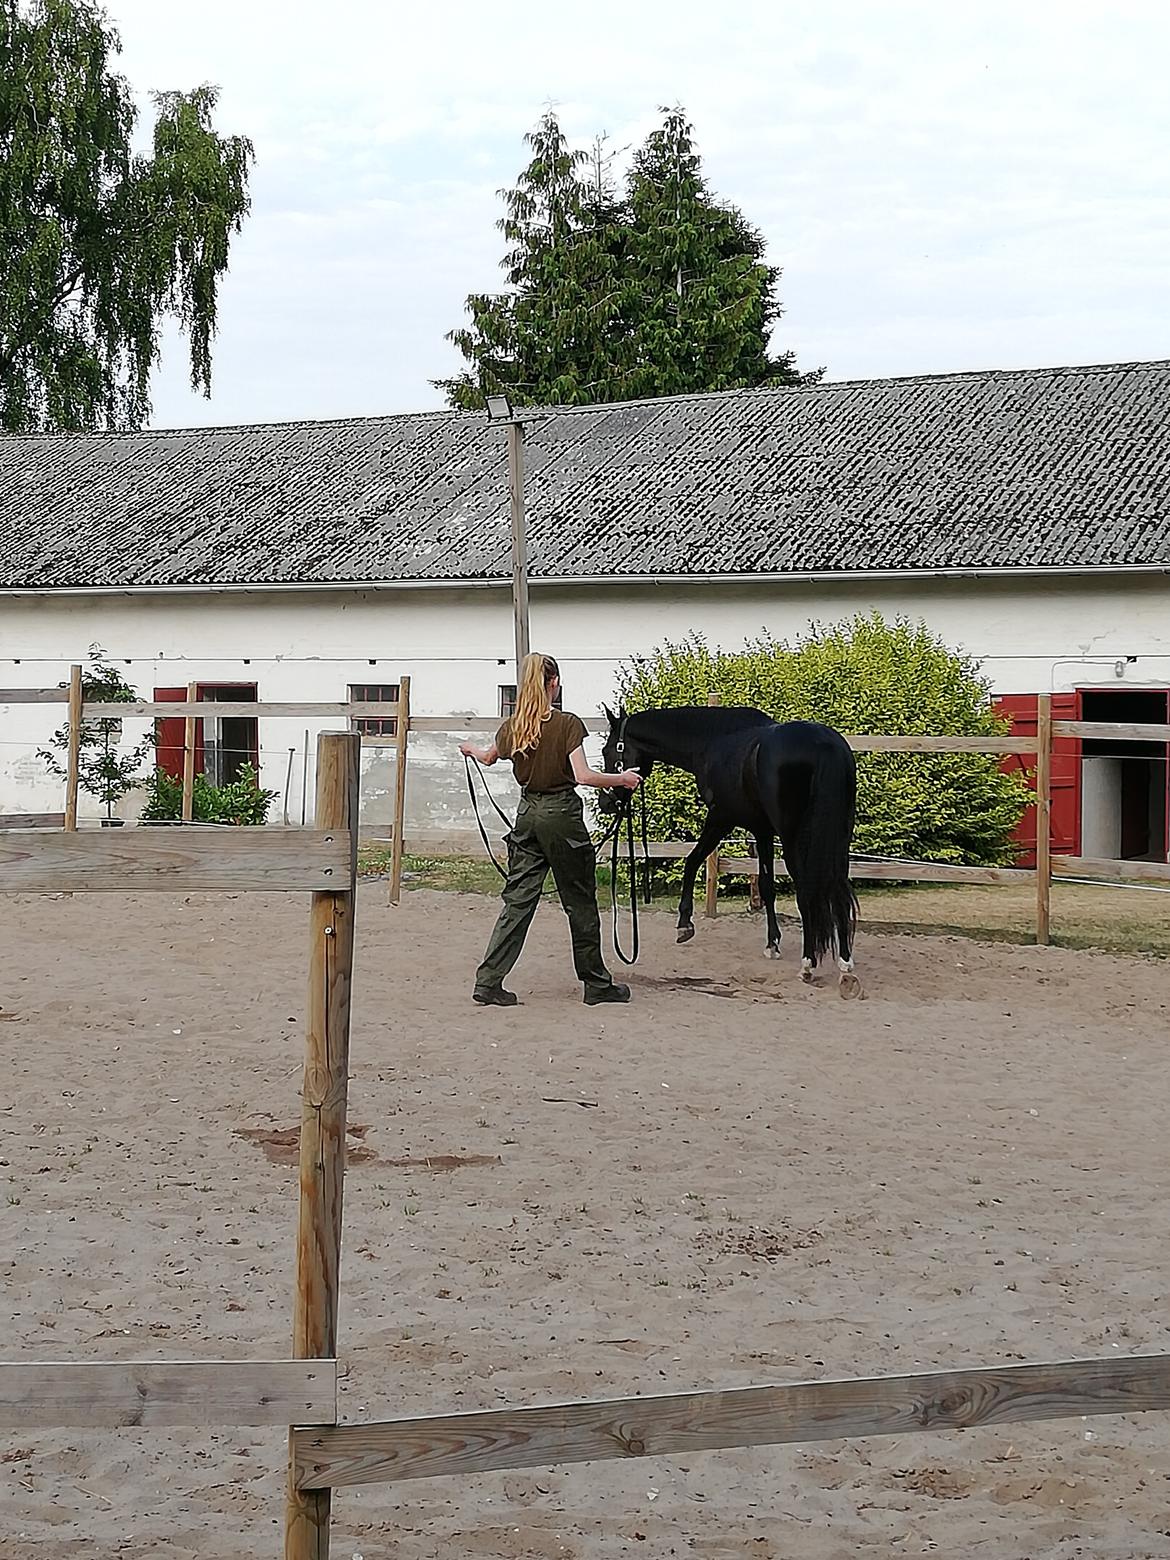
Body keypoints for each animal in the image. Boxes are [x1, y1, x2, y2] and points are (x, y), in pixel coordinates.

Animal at [605, 702, 861, 992]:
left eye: (608, 751)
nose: (606, 802)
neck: (713, 742)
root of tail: (824, 744)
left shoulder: (720, 818)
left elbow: (692, 860)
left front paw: (684, 925)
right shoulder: (762, 831)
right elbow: (767, 886)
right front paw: (772, 944)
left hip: (794, 839)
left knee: (808, 892)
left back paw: (808, 964)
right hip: (838, 839)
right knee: (838, 890)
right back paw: (845, 964)